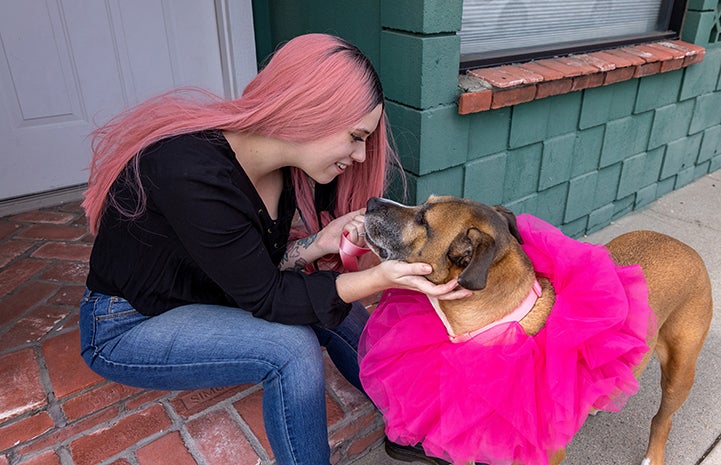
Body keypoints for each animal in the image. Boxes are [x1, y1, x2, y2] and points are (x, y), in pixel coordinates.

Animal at [362, 194, 712, 464]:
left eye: (423, 220)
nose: (371, 202)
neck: (503, 322)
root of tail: (683, 245)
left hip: (680, 371)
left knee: (663, 418)